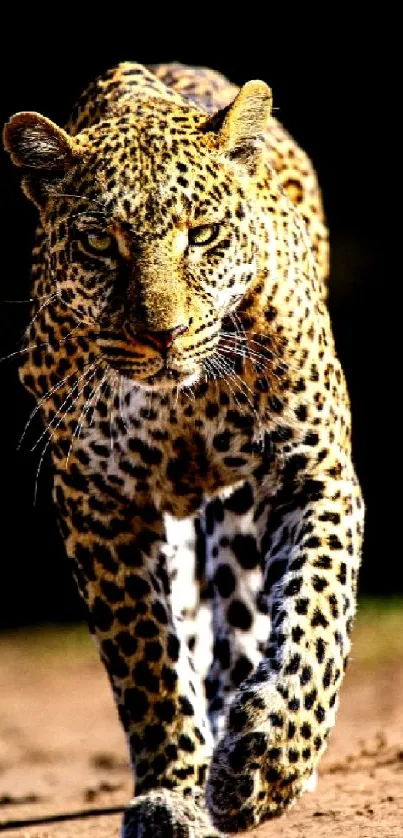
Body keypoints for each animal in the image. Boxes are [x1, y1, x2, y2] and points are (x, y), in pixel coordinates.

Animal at [3, 60, 364, 838]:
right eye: (100, 244)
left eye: (200, 235)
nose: (161, 335)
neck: (183, 398)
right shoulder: (99, 500)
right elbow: (146, 658)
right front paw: (173, 789)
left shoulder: (311, 471)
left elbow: (315, 617)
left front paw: (266, 761)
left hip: (237, 510)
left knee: (246, 613)